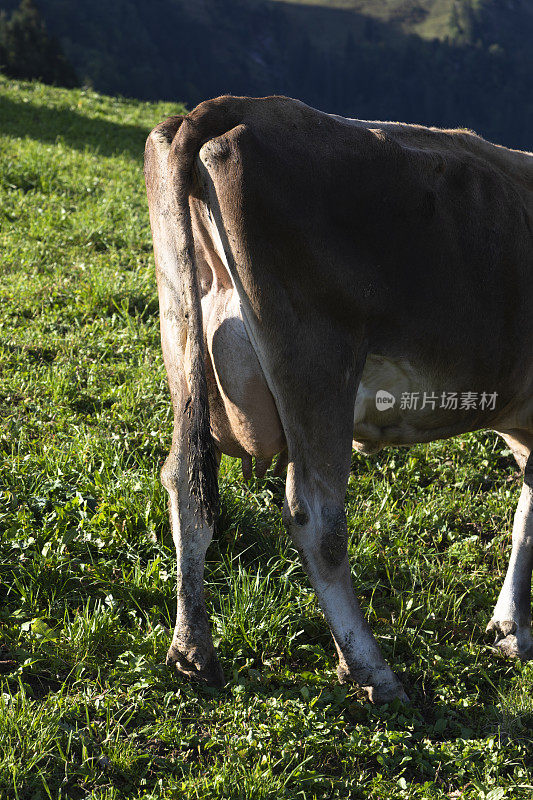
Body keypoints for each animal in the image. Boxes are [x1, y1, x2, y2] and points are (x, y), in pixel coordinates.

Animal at [143, 97, 528, 704]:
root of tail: (235, 107)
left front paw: (511, 626)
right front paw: (515, 629)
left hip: (183, 337)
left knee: (184, 482)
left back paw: (193, 650)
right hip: (317, 366)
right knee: (316, 517)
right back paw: (372, 670)